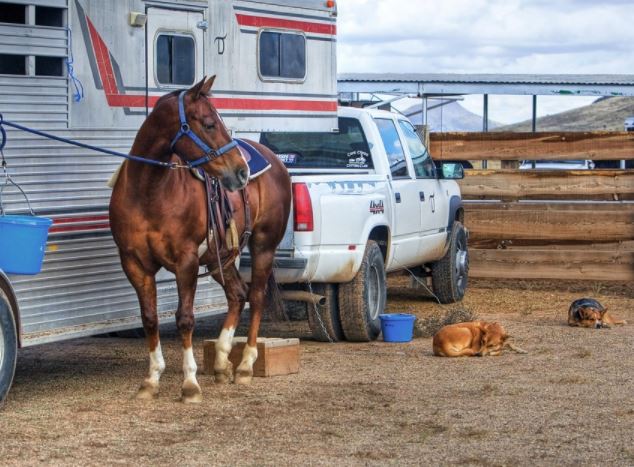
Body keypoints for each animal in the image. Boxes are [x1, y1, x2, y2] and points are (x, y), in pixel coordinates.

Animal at [109, 76, 292, 402]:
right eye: (208, 123)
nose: (241, 171)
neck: (149, 192)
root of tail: (275, 160)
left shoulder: (186, 261)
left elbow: (185, 318)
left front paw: (190, 384)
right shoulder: (134, 263)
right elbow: (150, 318)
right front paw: (151, 380)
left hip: (263, 246)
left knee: (256, 297)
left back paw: (245, 365)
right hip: (222, 258)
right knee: (237, 295)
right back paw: (220, 363)